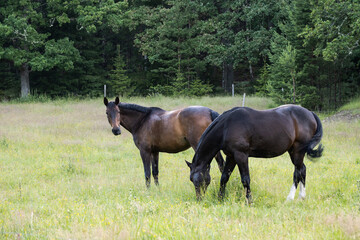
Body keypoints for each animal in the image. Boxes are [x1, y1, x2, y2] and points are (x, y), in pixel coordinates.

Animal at [186, 104, 324, 202]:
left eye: (198, 180)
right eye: (191, 180)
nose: (199, 199)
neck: (226, 126)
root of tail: (310, 114)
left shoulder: (241, 155)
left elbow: (245, 179)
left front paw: (250, 201)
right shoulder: (231, 156)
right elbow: (224, 177)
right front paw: (220, 199)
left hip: (297, 151)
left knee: (299, 172)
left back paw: (291, 198)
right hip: (293, 151)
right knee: (301, 170)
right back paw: (301, 198)